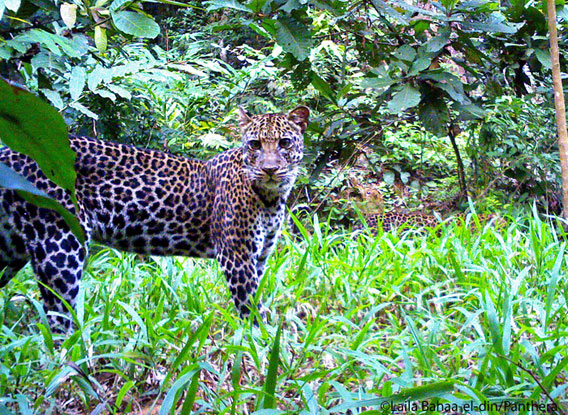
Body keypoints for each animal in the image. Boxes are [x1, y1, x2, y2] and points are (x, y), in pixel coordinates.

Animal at [0, 106, 310, 332]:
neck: (271, 198)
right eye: (255, 144)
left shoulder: (259, 257)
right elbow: (249, 305)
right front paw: (262, 341)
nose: (269, 169)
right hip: (60, 244)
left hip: (11, 247)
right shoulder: (236, 255)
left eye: (284, 142)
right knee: (58, 316)